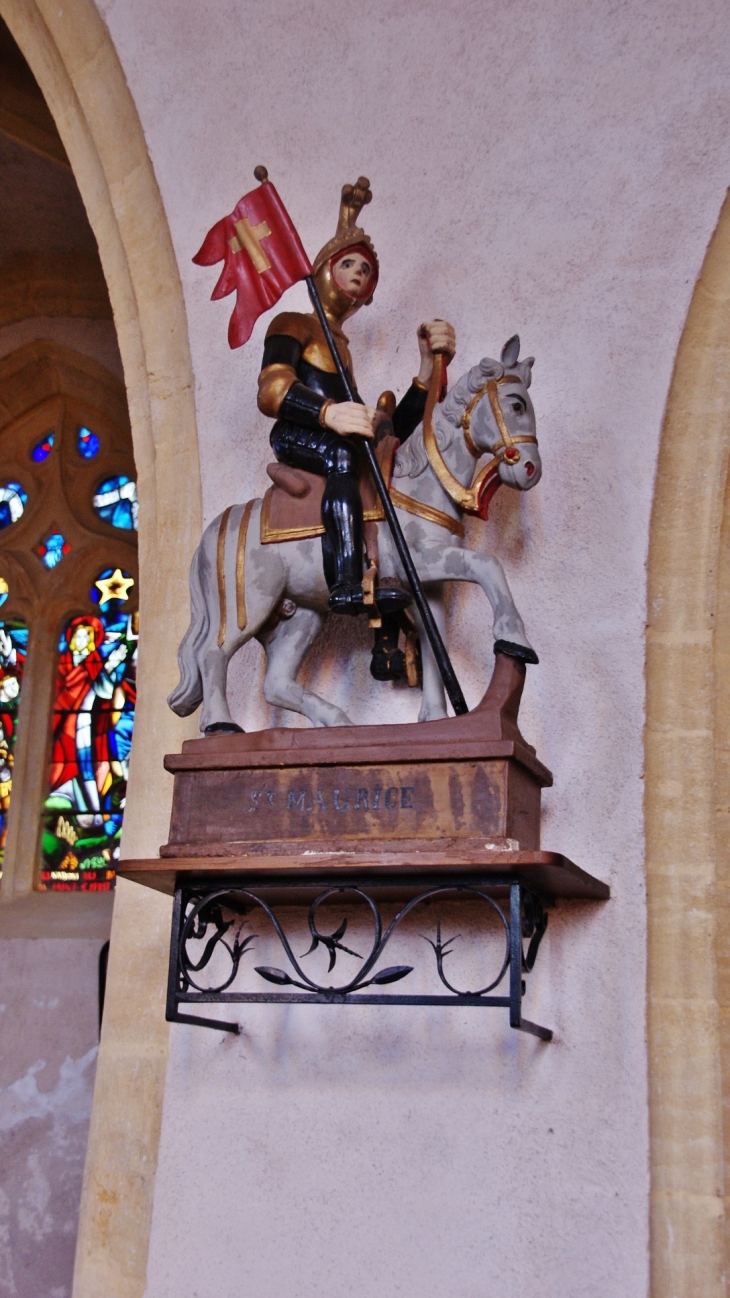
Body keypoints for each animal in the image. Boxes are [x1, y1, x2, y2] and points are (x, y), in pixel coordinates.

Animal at [167, 334, 537, 737]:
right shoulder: (421, 561)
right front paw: (515, 639)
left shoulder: (429, 585)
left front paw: (436, 717)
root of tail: (222, 524)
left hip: (300, 615)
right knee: (212, 654)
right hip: (248, 606)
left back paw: (336, 721)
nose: (530, 470)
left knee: (275, 682)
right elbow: (488, 563)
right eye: (517, 404)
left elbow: (432, 637)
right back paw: (221, 724)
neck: (421, 485)